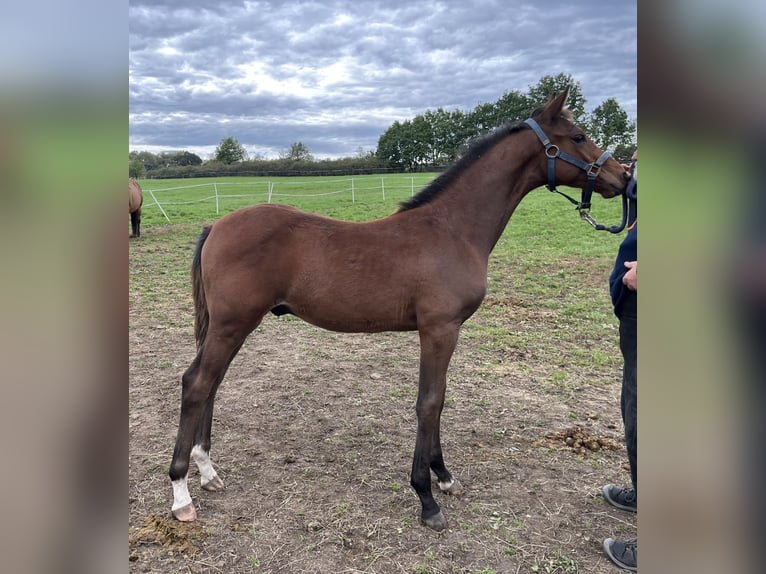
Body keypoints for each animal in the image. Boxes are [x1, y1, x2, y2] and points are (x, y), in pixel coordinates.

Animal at [167, 89, 630, 531]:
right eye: (578, 137)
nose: (623, 176)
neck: (451, 230)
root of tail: (216, 226)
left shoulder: (444, 331)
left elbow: (439, 399)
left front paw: (444, 477)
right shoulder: (440, 329)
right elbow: (430, 402)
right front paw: (427, 498)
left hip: (229, 326)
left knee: (211, 384)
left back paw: (208, 472)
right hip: (232, 324)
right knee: (197, 383)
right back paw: (181, 494)